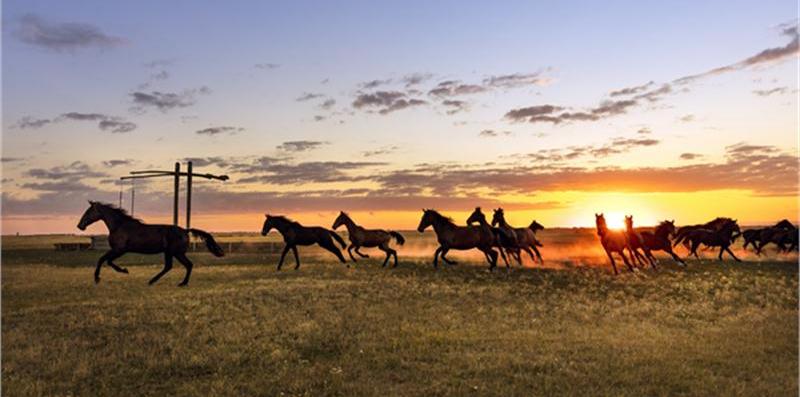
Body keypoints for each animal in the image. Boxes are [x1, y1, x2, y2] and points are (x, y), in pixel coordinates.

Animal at [76, 200, 223, 286]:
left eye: (88, 212)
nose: (80, 226)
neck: (120, 225)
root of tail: (185, 230)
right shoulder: (118, 250)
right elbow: (106, 260)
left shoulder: (119, 250)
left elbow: (104, 260)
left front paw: (103, 276)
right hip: (169, 253)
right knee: (169, 266)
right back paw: (152, 281)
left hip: (176, 253)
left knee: (188, 265)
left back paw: (182, 283)